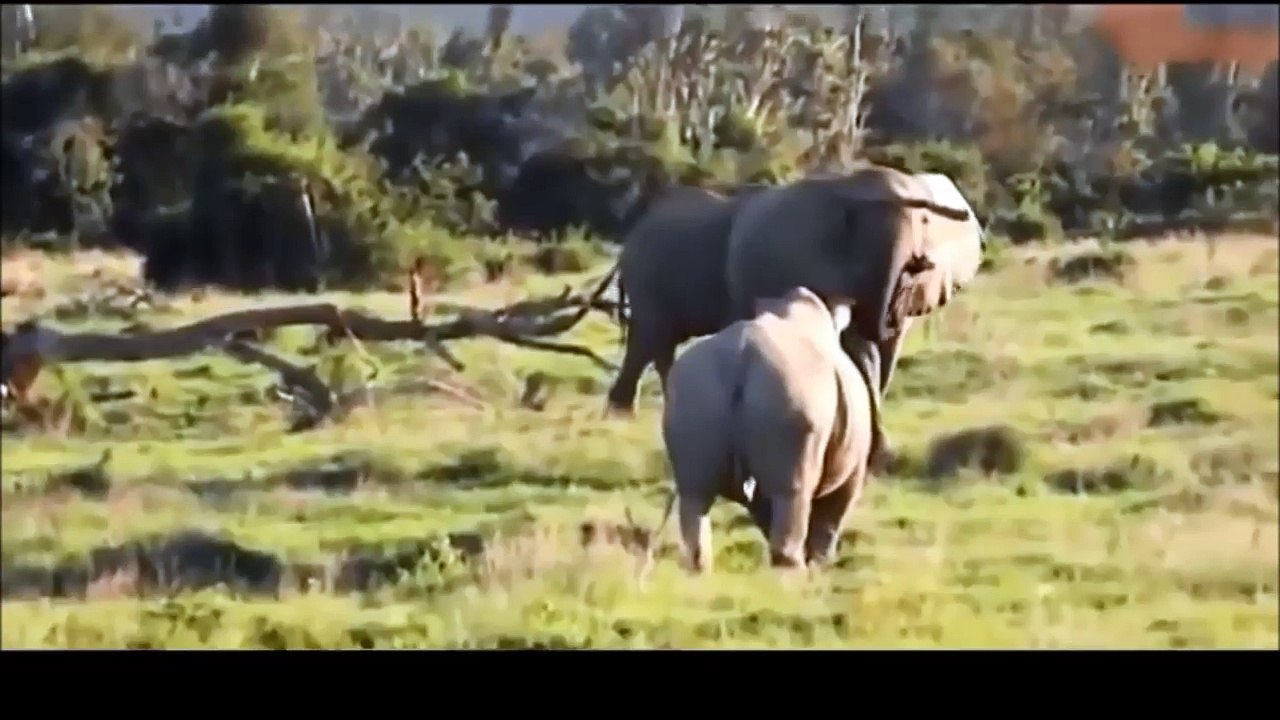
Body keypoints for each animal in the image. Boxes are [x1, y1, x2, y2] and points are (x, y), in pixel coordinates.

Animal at [657, 286, 881, 573]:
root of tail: (743, 357)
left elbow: (766, 512)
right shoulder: (853, 465)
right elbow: (831, 517)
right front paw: (819, 567)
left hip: (693, 388)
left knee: (694, 493)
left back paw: (699, 571)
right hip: (794, 393)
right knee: (792, 493)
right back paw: (793, 574)